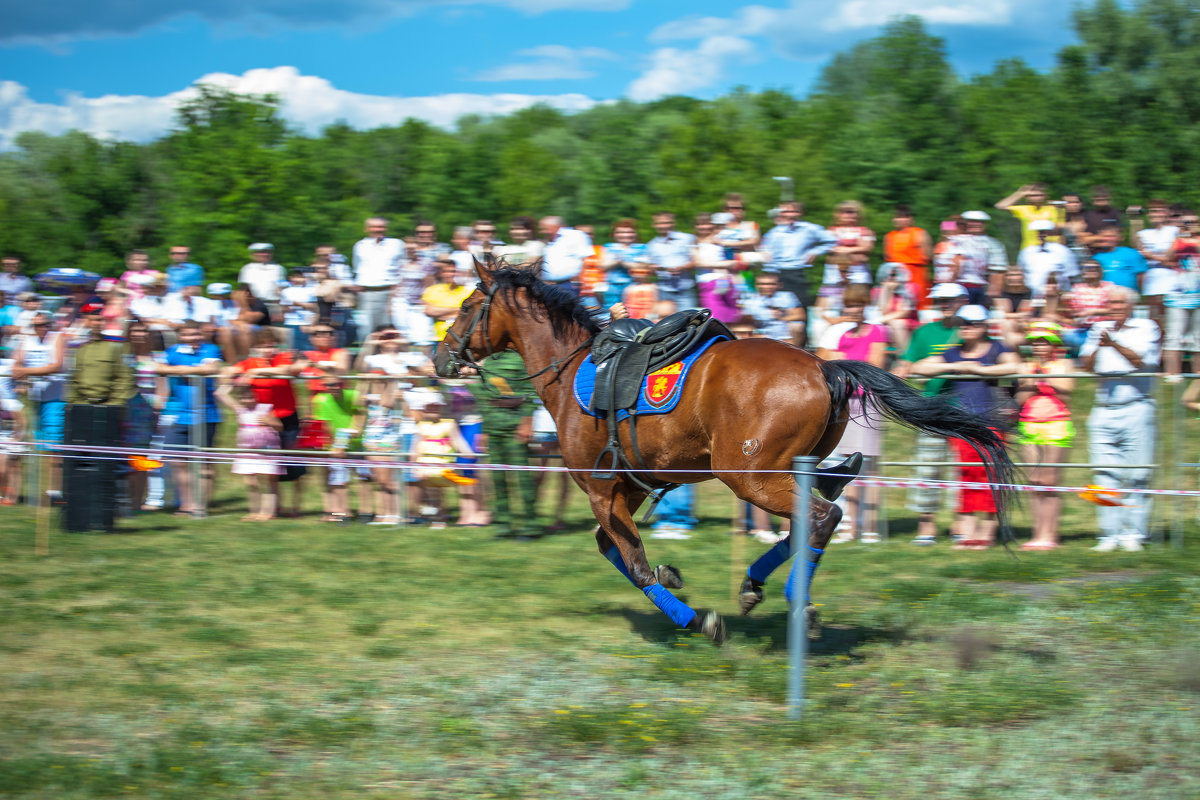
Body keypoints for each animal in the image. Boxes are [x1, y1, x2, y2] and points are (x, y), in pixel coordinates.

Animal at [434, 262, 1012, 642]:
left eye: (466, 306)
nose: (440, 356)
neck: (573, 369)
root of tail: (824, 366)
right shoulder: (626, 489)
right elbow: (615, 550)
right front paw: (678, 583)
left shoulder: (601, 491)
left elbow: (634, 565)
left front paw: (696, 618)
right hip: (778, 469)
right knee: (826, 499)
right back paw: (756, 583)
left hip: (747, 474)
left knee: (823, 514)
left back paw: (795, 603)